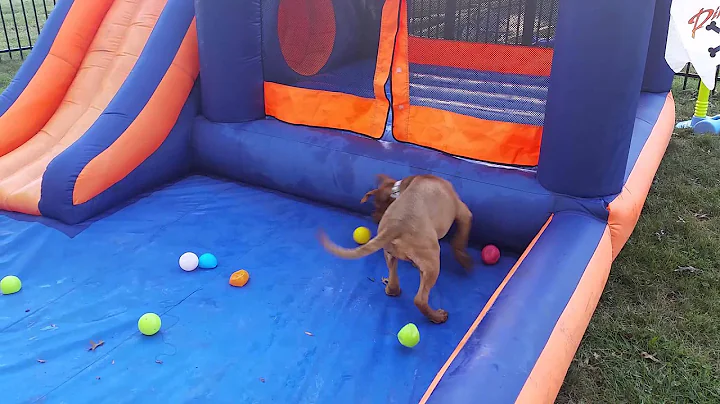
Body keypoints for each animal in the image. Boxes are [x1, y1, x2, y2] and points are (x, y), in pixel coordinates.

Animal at [320, 173, 472, 322]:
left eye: (377, 206)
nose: (374, 218)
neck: (398, 189)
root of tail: (396, 226)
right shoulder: (464, 213)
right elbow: (459, 241)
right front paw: (464, 259)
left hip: (390, 254)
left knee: (393, 281)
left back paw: (393, 288)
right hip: (433, 262)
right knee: (419, 299)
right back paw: (437, 317)